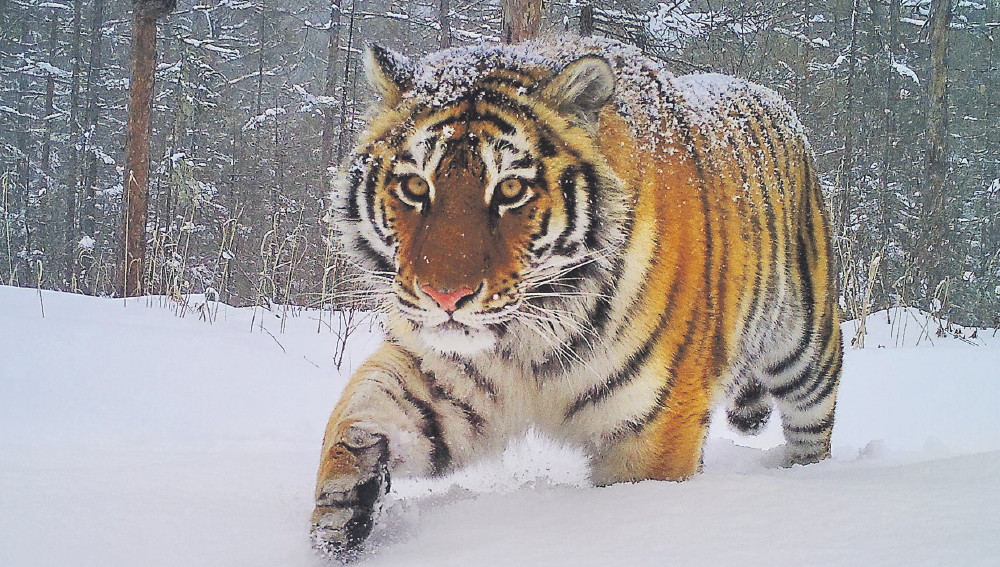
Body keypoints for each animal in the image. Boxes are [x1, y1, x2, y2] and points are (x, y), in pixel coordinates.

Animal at [308, 36, 840, 556]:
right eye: (416, 186)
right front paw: (343, 508)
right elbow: (355, 412)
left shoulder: (656, 428)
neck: (525, 341)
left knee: (814, 427)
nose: (445, 295)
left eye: (511, 189)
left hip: (807, 349)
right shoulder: (441, 376)